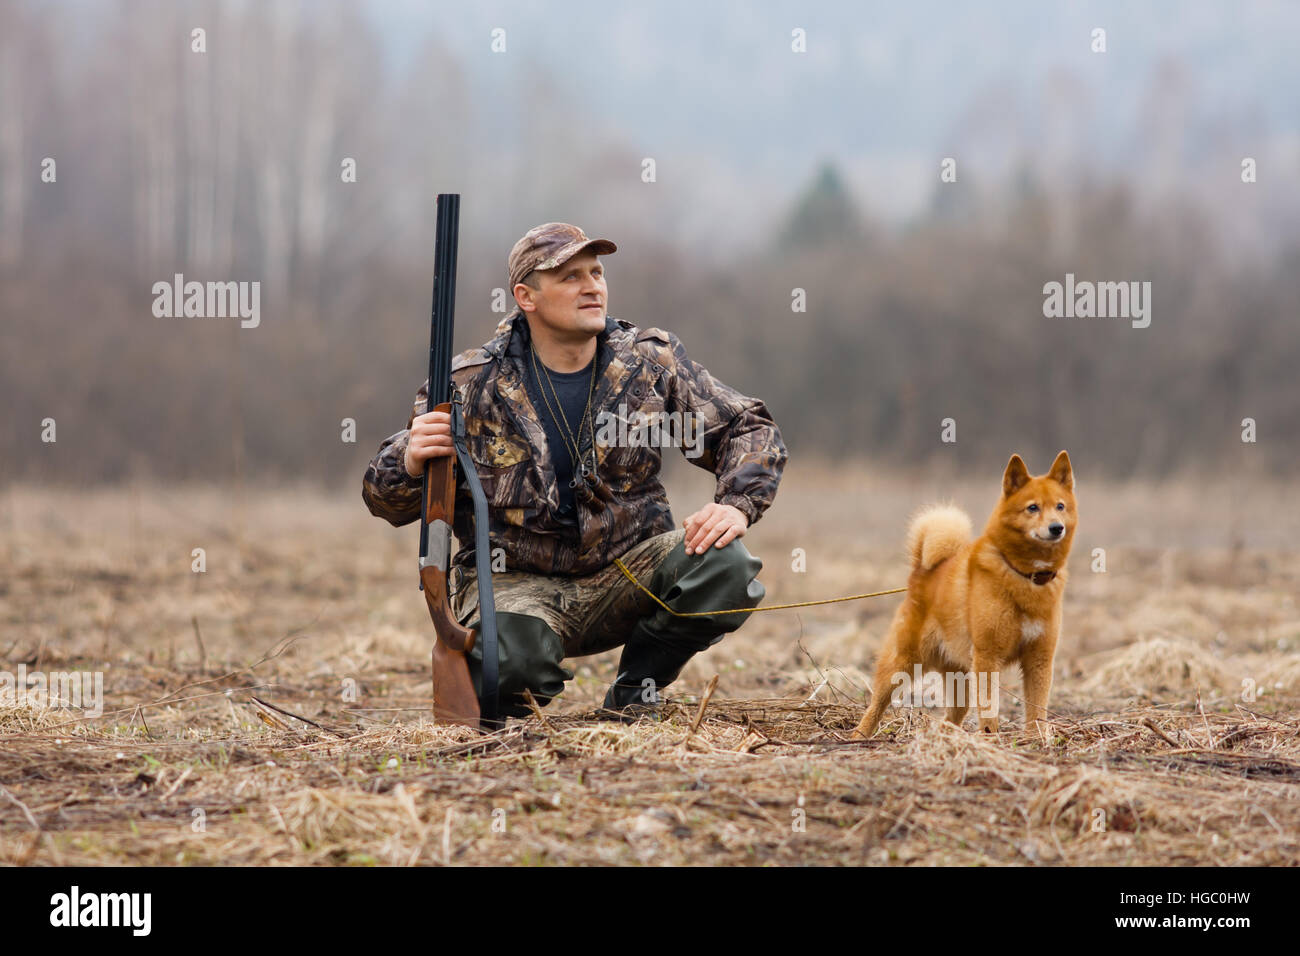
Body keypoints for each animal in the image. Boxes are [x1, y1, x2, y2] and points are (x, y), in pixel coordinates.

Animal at [852, 450, 1076, 738]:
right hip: (902, 664)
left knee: (951, 717)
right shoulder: (988, 656)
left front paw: (1036, 741)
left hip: (961, 680)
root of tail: (922, 572)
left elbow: (1037, 711)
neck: (1025, 576)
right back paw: (859, 736)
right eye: (1032, 507)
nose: (1057, 527)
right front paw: (991, 739)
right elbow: (990, 709)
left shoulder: (1039, 659)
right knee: (876, 704)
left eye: (1060, 506)